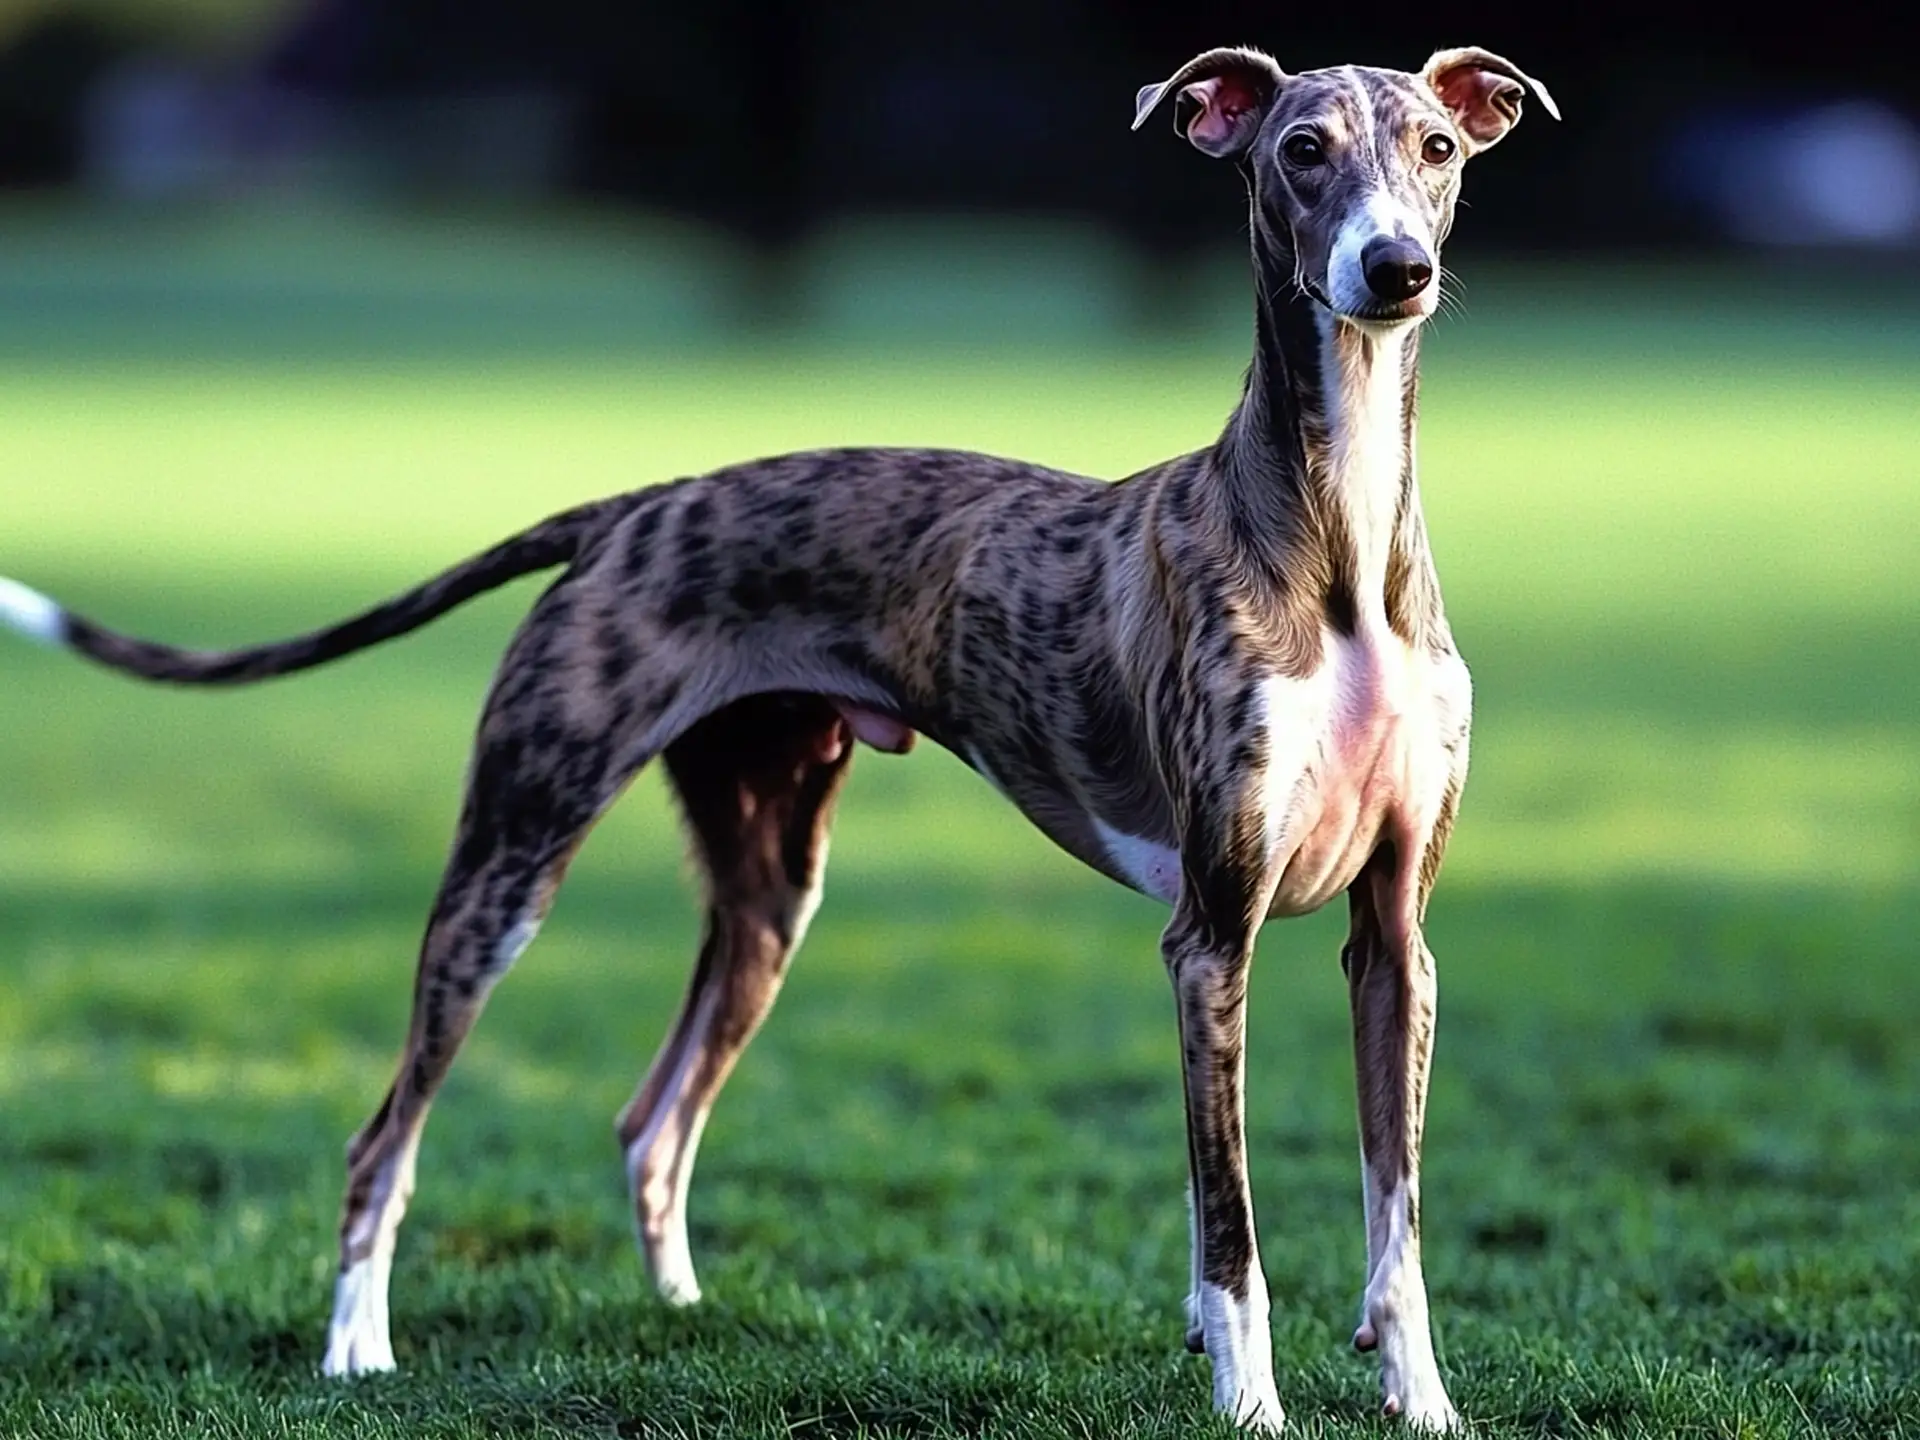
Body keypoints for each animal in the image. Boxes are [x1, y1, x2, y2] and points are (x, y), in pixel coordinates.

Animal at [0, 42, 1551, 1436]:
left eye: (1436, 149)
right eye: (1301, 150)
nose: (1394, 272)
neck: (1339, 554)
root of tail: (631, 508)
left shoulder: (1392, 936)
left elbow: (1398, 1220)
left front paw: (1426, 1406)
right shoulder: (1211, 935)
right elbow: (1231, 1232)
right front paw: (1252, 1408)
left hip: (768, 885)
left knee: (650, 1119)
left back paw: (683, 1315)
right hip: (510, 863)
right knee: (385, 1133)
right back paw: (356, 1351)